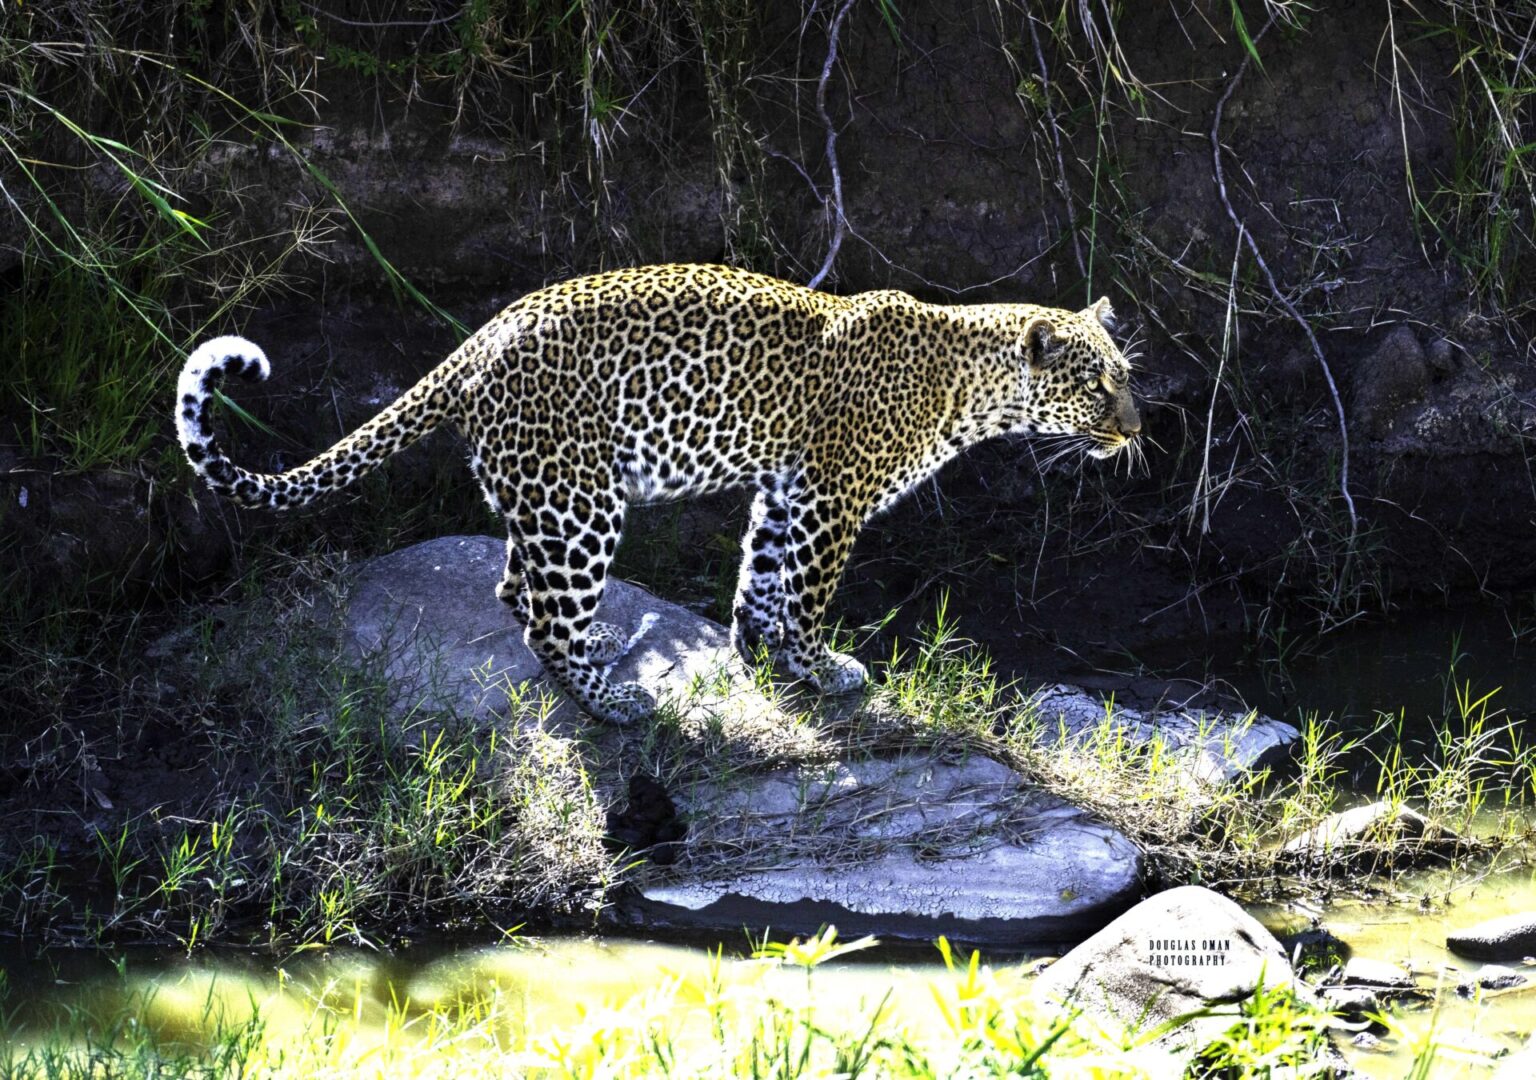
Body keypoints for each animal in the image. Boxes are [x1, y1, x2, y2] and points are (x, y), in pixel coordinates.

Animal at [176, 261, 1142, 725]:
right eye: (1100, 386)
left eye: (1125, 378)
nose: (1136, 429)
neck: (971, 389)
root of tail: (476, 343)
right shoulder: (831, 497)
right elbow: (806, 594)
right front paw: (822, 668)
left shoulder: (785, 487)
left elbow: (762, 578)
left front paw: (761, 656)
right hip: (581, 503)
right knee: (539, 618)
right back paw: (613, 703)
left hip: (546, 497)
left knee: (514, 583)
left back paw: (603, 641)